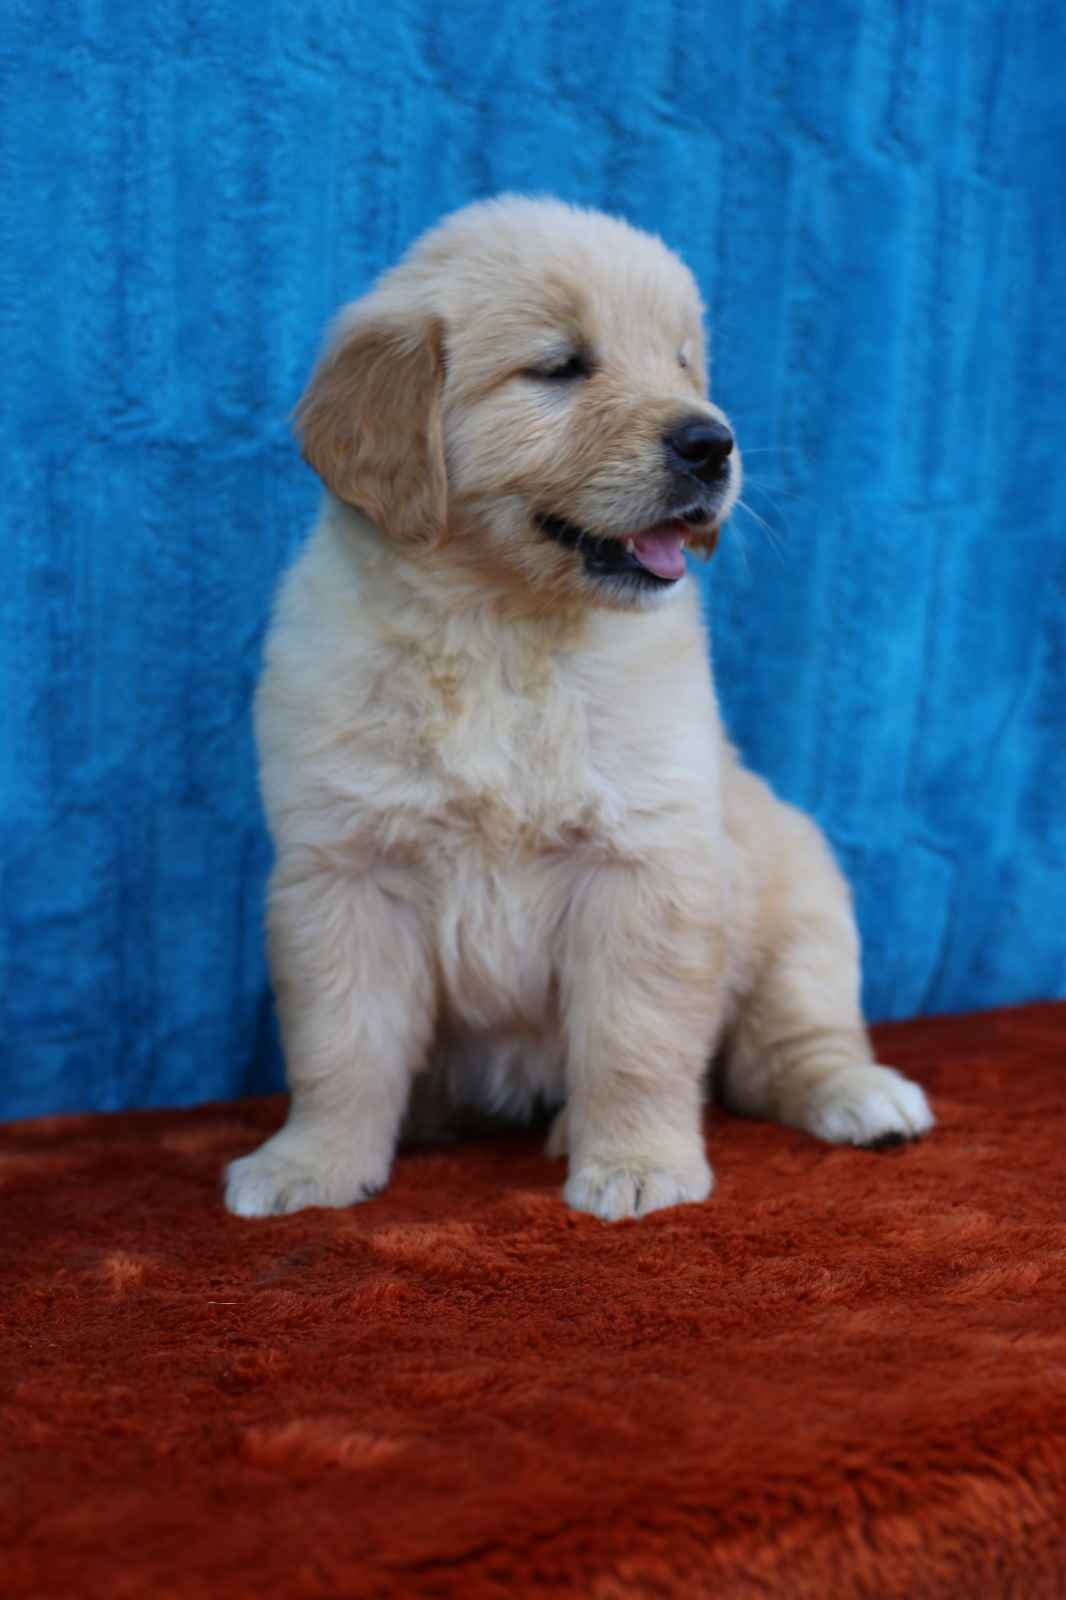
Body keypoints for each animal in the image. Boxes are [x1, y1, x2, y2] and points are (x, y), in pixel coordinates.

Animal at [225, 200, 928, 1222]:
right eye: (561, 366)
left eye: (681, 363)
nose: (713, 442)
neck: (501, 628)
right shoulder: (344, 871)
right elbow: (340, 1047)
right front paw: (310, 1164)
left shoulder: (644, 862)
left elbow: (634, 1041)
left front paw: (637, 1165)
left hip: (802, 901)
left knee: (787, 1050)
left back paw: (864, 1097)